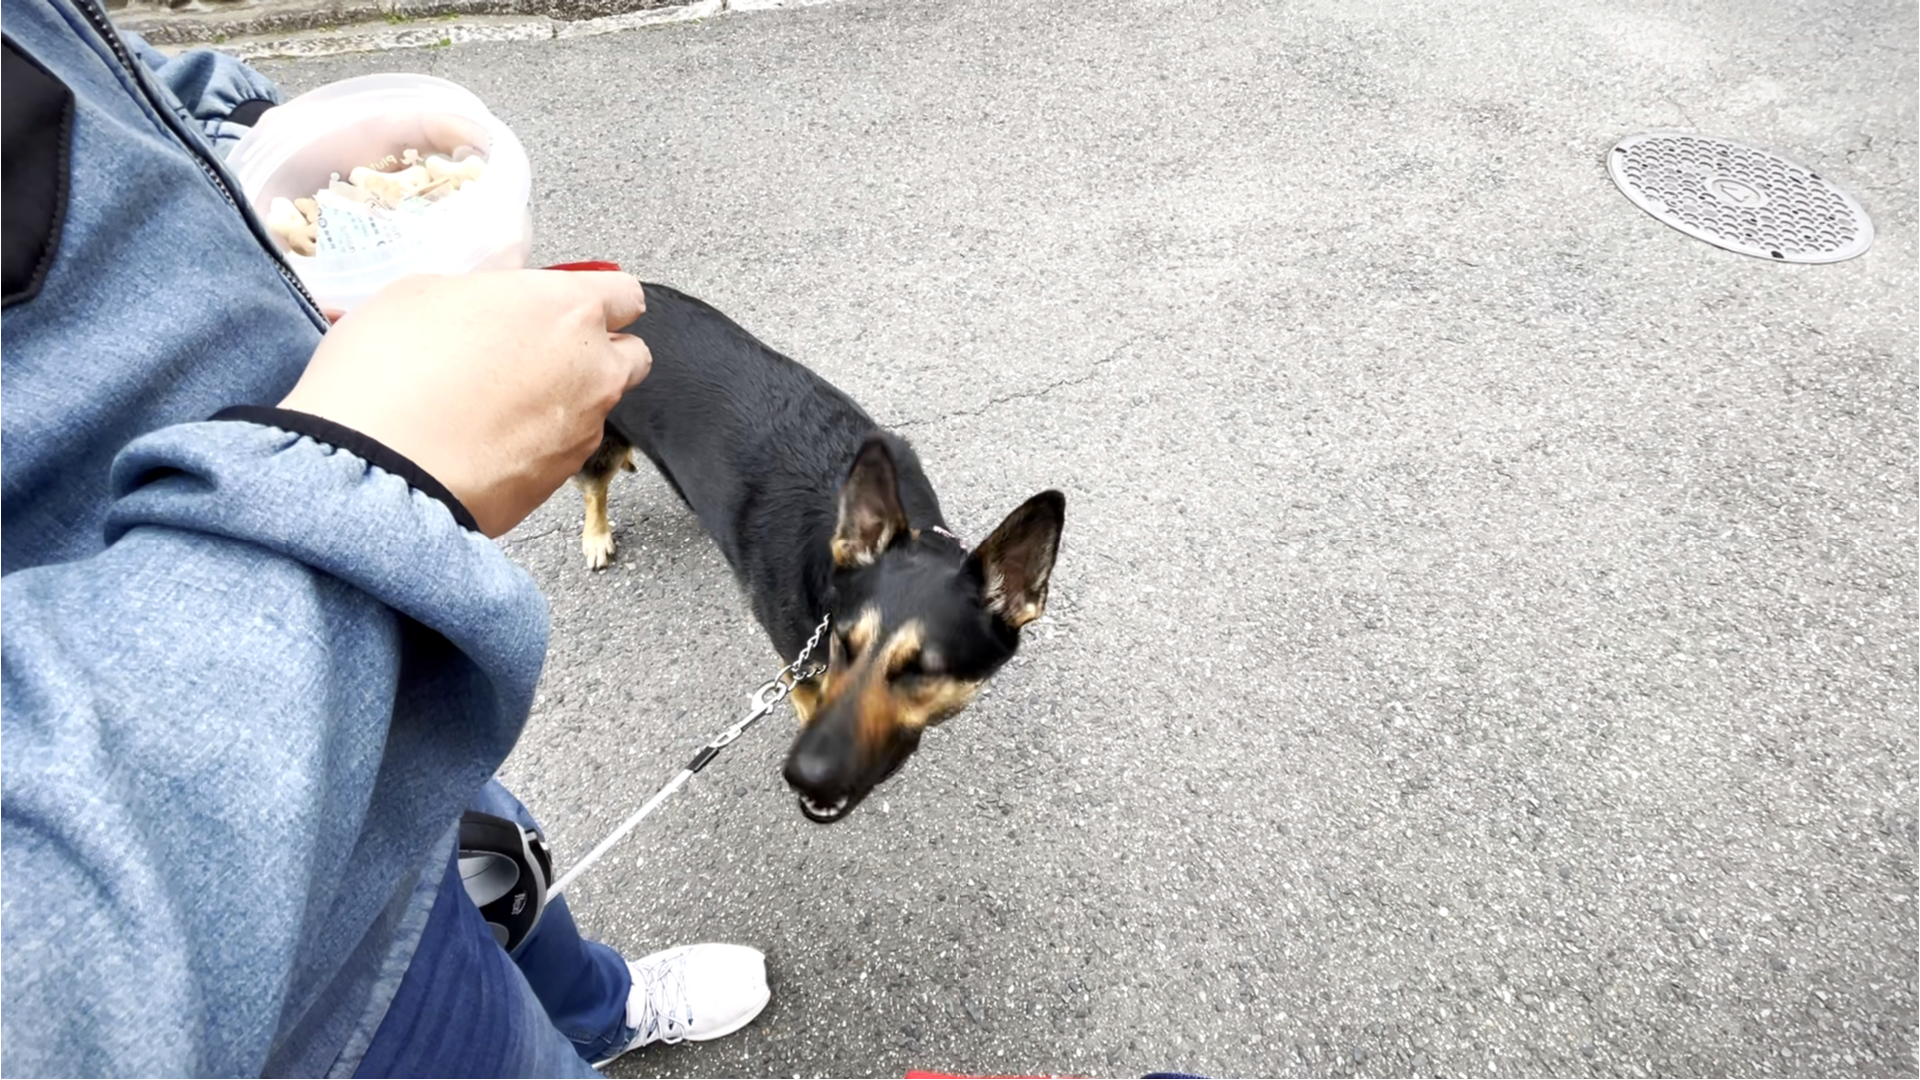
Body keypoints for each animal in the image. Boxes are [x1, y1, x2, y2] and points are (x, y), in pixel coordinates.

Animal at [576, 282, 1064, 824]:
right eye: (843, 645)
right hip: (591, 434)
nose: (803, 778)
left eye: (924, 670)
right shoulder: (799, 659)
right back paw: (596, 534)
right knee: (594, 484)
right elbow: (809, 695)